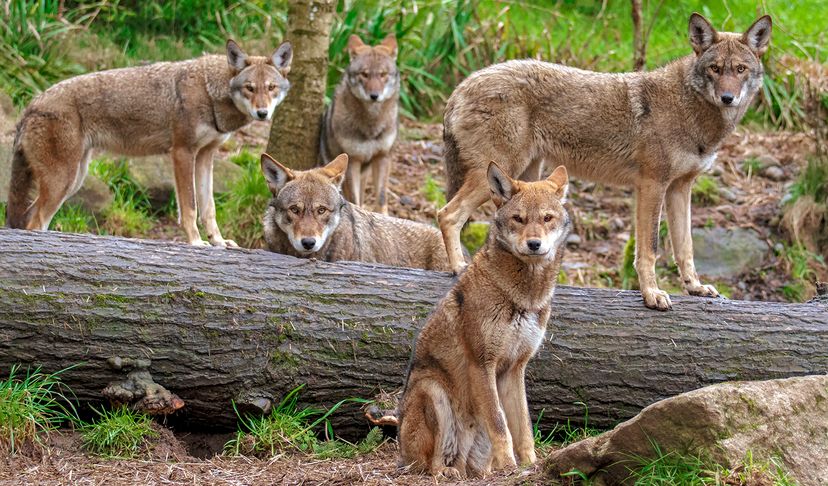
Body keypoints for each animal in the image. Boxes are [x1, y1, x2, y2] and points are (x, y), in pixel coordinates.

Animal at [7, 40, 292, 247]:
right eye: (250, 88)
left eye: (271, 88)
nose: (263, 113)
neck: (209, 91)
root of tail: (31, 104)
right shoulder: (182, 152)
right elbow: (190, 207)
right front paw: (196, 242)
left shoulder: (206, 156)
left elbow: (208, 208)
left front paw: (219, 242)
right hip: (63, 181)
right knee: (34, 223)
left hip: (74, 180)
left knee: (32, 218)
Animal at [319, 34, 399, 214]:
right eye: (364, 74)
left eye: (383, 74)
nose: (374, 96)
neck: (371, 124)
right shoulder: (352, 162)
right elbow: (355, 201)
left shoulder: (383, 157)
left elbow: (381, 197)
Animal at [398, 162, 571, 477]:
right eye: (518, 219)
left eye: (547, 218)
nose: (534, 244)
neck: (524, 298)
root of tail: (400, 455)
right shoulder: (482, 364)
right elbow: (500, 424)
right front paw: (511, 466)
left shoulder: (515, 368)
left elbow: (523, 427)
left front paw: (530, 464)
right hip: (432, 390)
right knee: (431, 465)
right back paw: (446, 472)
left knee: (471, 466)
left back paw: (482, 473)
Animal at [438, 13, 772, 310]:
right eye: (715, 68)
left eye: (740, 69)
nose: (728, 98)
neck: (690, 110)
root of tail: (461, 86)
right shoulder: (652, 185)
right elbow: (650, 249)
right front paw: (651, 295)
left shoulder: (680, 187)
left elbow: (685, 247)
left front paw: (695, 287)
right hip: (498, 173)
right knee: (447, 214)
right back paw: (458, 267)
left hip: (528, 178)